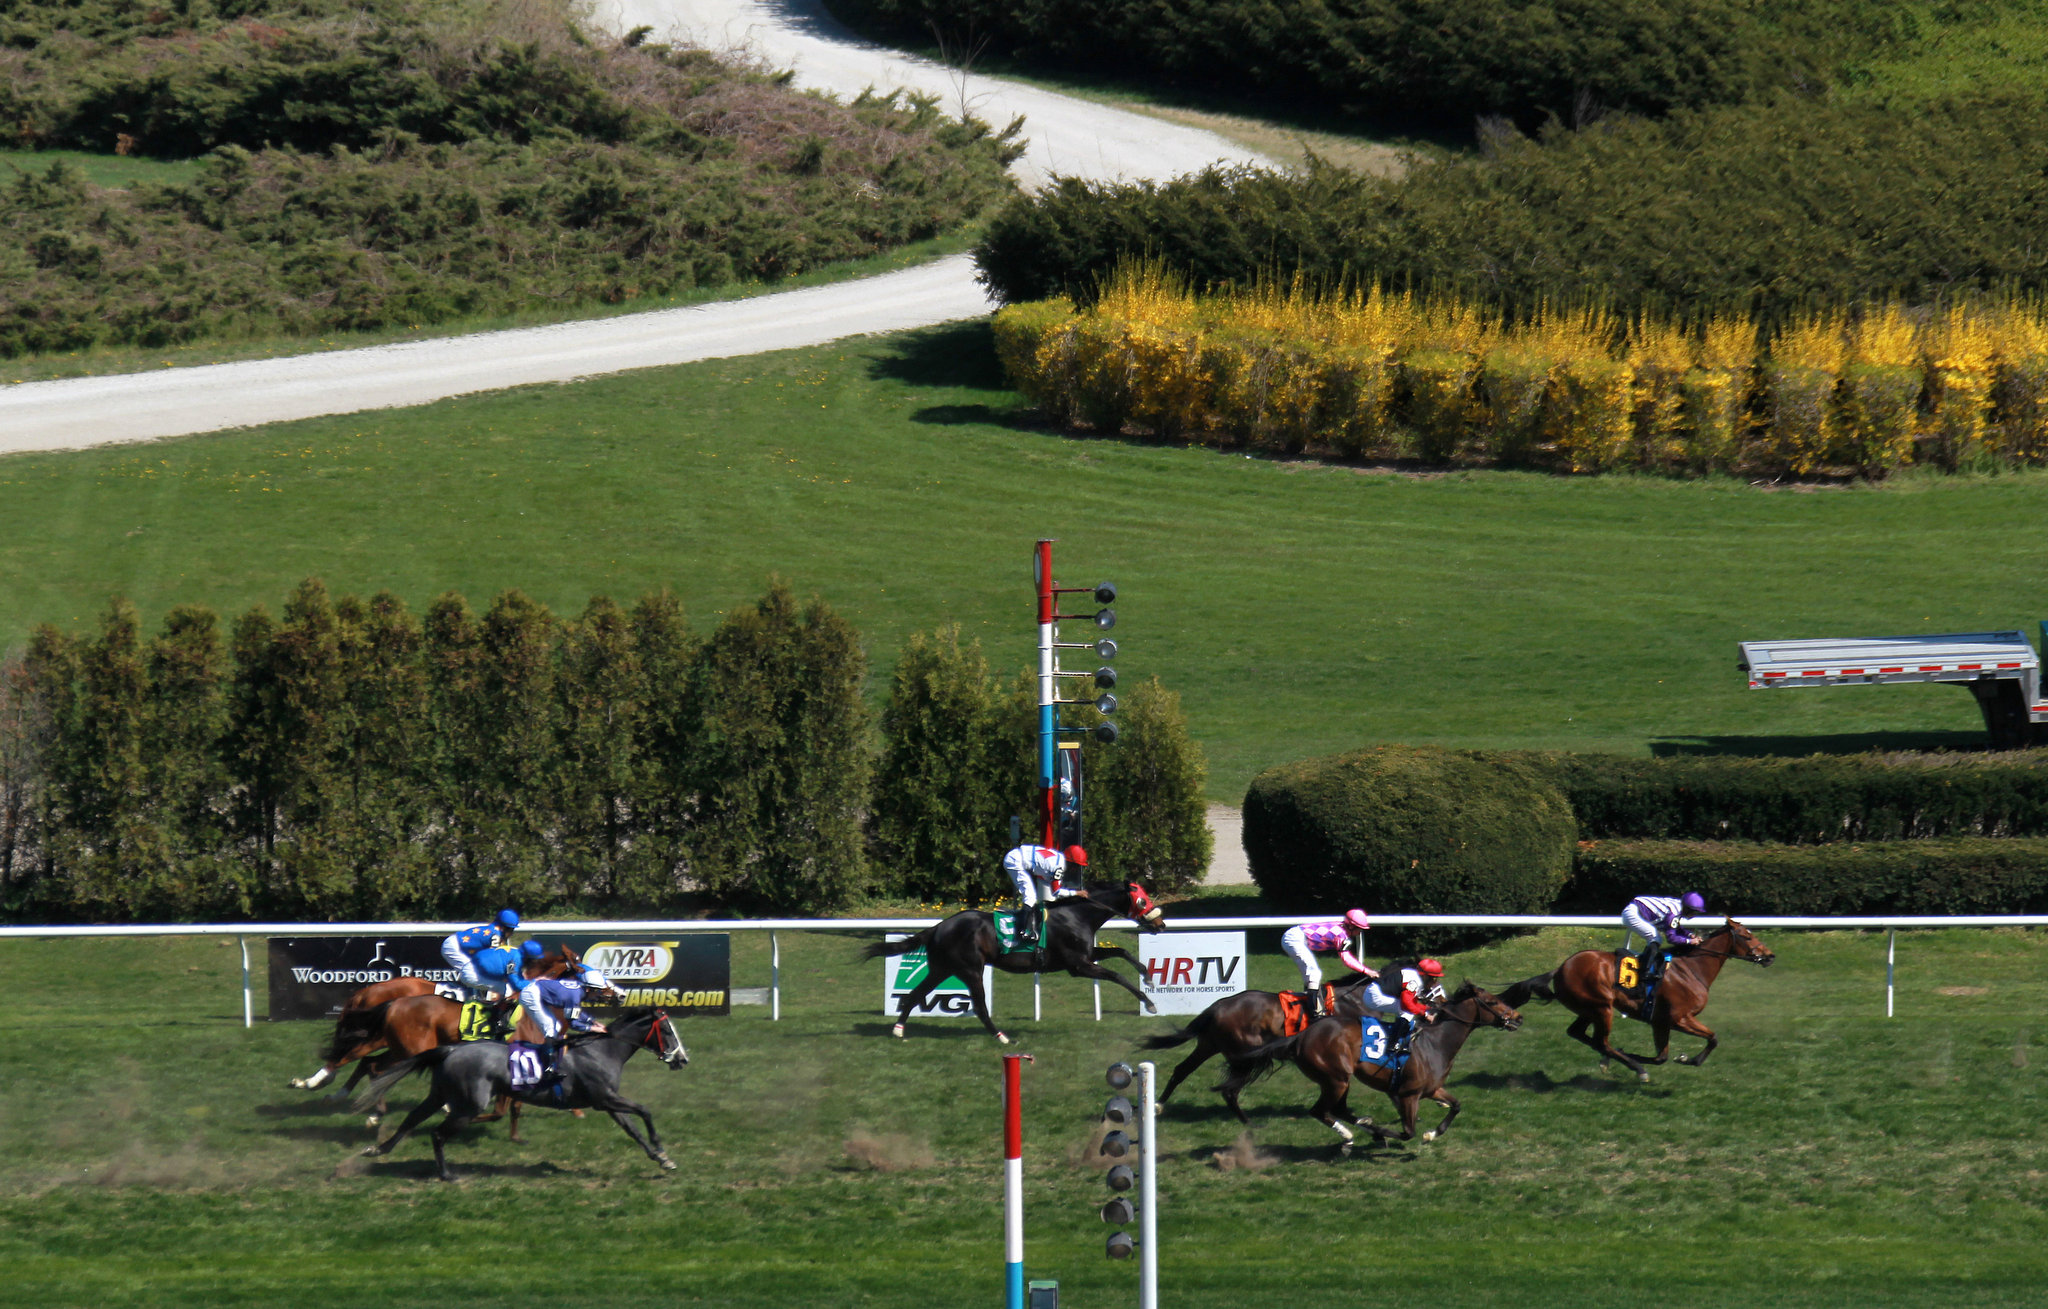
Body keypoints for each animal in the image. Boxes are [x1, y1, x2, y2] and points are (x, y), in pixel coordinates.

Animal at [360, 1007, 688, 1179]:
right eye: (667, 1032)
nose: (683, 1060)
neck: (602, 1050)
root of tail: (452, 1049)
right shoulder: (605, 1098)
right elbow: (645, 1110)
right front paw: (661, 1149)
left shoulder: (607, 1103)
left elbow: (633, 1130)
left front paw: (662, 1159)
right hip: (469, 1104)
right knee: (437, 1133)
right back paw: (447, 1174)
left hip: (439, 1094)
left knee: (412, 1119)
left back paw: (378, 1149)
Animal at [856, 880, 1163, 1044]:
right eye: (1142, 899)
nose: (1160, 923)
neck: (1077, 915)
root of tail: (938, 927)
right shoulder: (1078, 966)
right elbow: (1116, 975)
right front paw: (1149, 1002)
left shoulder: (1086, 956)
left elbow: (1122, 952)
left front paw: (1148, 975)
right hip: (971, 970)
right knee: (980, 1007)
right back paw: (1002, 1036)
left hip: (942, 968)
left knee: (914, 994)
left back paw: (898, 1030)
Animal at [1146, 975, 1384, 1130]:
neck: (1356, 999)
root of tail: (1217, 1006)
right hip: (1245, 1056)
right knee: (1229, 1091)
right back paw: (1250, 1124)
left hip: (1209, 1045)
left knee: (1182, 1070)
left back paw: (1158, 1105)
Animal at [1212, 983, 1523, 1147]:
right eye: (1493, 1001)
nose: (1518, 1017)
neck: (1437, 1041)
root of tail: (1301, 1035)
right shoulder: (1409, 1094)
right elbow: (1407, 1132)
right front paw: (1385, 1134)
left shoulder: (1432, 1089)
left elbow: (1456, 1106)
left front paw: (1431, 1133)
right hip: (1336, 1078)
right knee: (1320, 1111)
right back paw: (1353, 1135)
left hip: (1340, 1080)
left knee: (1337, 1110)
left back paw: (1361, 1127)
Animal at [1490, 917, 1777, 1081]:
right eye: (1748, 936)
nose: (1770, 955)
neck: (1691, 969)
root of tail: (1560, 968)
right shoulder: (1679, 1018)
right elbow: (1713, 1037)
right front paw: (1690, 1060)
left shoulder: (1660, 1022)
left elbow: (1661, 1056)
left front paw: (1671, 1058)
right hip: (1602, 1007)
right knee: (1601, 1041)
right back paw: (1635, 1068)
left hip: (1588, 1009)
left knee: (1579, 1034)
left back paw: (1615, 1059)